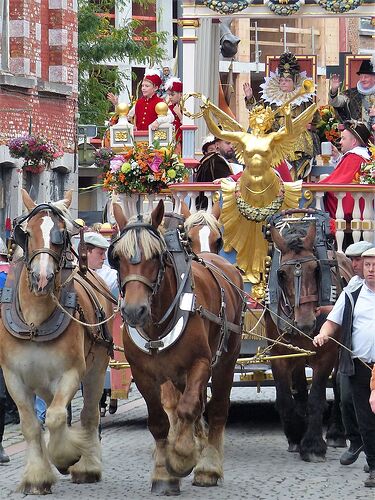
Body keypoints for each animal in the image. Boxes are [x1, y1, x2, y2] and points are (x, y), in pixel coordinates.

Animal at [0, 189, 113, 494]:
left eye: (62, 233)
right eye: (26, 233)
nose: (42, 278)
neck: (35, 323)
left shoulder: (72, 372)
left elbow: (56, 416)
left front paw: (66, 456)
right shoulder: (13, 377)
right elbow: (31, 425)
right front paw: (37, 476)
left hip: (97, 369)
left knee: (88, 414)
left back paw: (87, 465)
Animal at [108, 200, 244, 496]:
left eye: (156, 256)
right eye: (117, 257)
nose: (134, 311)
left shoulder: (201, 364)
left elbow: (188, 408)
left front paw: (182, 457)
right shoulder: (145, 375)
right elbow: (160, 420)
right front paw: (163, 473)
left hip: (226, 360)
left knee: (217, 408)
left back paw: (208, 467)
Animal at [266, 217, 352, 462]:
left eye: (316, 269)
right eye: (281, 274)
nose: (305, 324)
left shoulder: (326, 354)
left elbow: (317, 398)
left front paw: (313, 445)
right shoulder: (279, 353)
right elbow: (286, 399)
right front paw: (295, 434)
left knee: (338, 384)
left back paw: (335, 433)